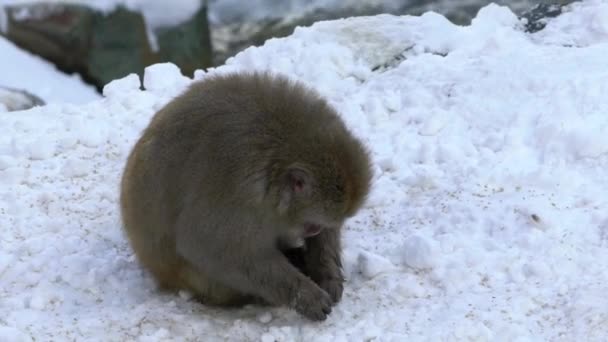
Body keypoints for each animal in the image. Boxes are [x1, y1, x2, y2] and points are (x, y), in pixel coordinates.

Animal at [120, 71, 370, 320]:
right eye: (311, 225)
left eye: (318, 226)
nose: (314, 231)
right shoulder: (236, 196)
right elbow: (209, 247)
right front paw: (307, 296)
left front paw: (328, 274)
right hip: (191, 279)